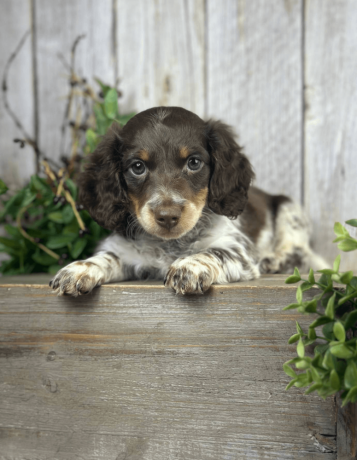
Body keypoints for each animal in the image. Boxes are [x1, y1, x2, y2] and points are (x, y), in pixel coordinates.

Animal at [49, 106, 326, 296]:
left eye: (194, 162)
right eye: (137, 167)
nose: (168, 216)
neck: (170, 245)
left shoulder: (238, 250)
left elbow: (213, 251)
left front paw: (190, 266)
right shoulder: (125, 251)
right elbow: (106, 257)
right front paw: (79, 268)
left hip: (290, 210)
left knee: (300, 252)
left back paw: (274, 260)